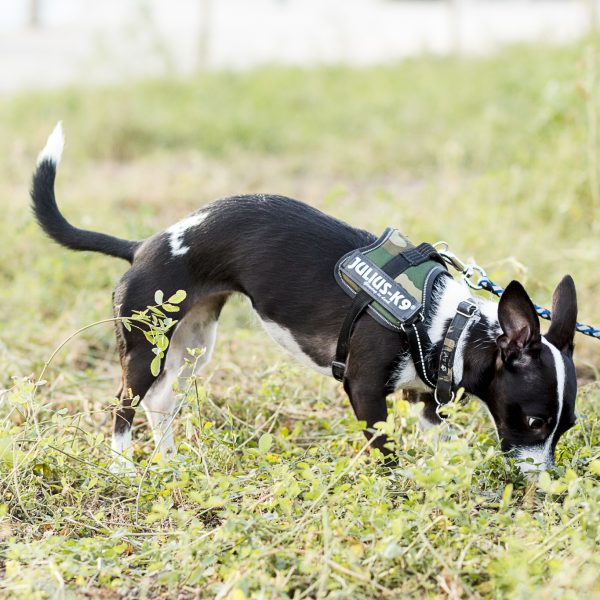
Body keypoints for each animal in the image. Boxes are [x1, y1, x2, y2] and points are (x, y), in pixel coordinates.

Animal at [31, 124, 576, 476]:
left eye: (566, 427)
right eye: (535, 421)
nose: (545, 480)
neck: (446, 324)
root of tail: (144, 245)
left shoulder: (426, 399)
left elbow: (439, 440)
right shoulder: (364, 392)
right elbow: (387, 454)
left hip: (192, 344)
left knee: (162, 402)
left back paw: (169, 463)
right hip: (147, 346)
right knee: (123, 405)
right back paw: (124, 467)